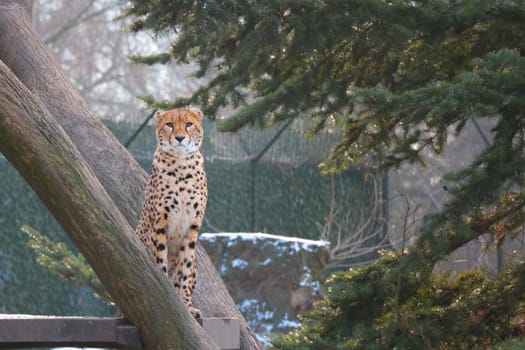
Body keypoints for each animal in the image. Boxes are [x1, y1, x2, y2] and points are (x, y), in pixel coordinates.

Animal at [135, 106, 207, 318]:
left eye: (189, 124)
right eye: (169, 124)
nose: (180, 138)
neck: (182, 164)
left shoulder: (192, 227)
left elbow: (184, 268)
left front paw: (185, 304)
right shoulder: (160, 223)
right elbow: (161, 259)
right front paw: (167, 294)